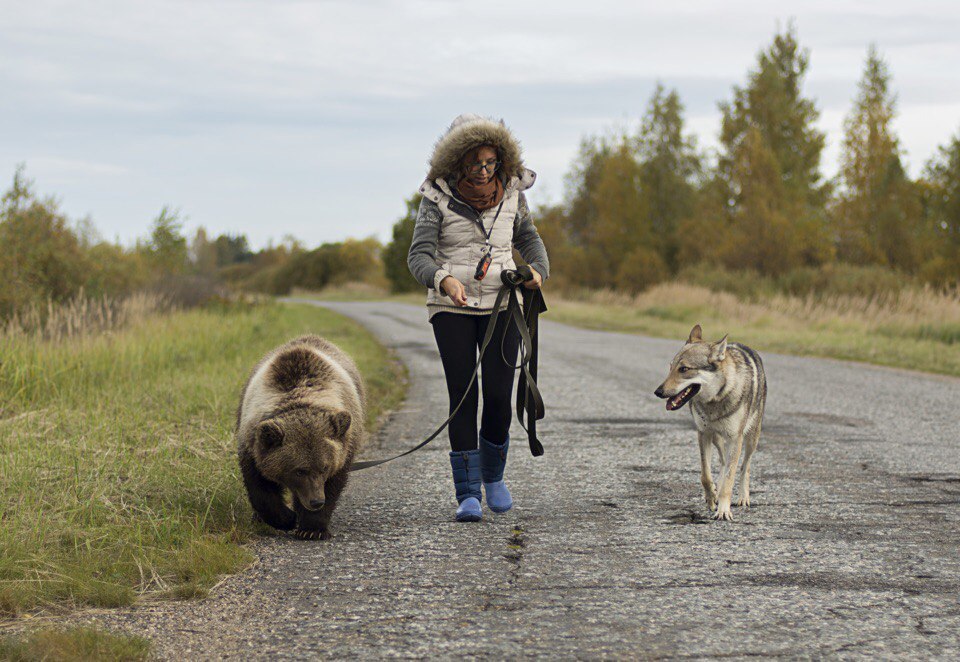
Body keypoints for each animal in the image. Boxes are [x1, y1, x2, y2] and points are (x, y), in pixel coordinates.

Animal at [234, 334, 366, 544]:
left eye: (324, 467)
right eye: (299, 471)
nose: (316, 501)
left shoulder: (344, 446)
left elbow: (333, 484)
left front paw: (312, 529)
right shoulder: (252, 443)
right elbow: (259, 488)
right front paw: (287, 518)